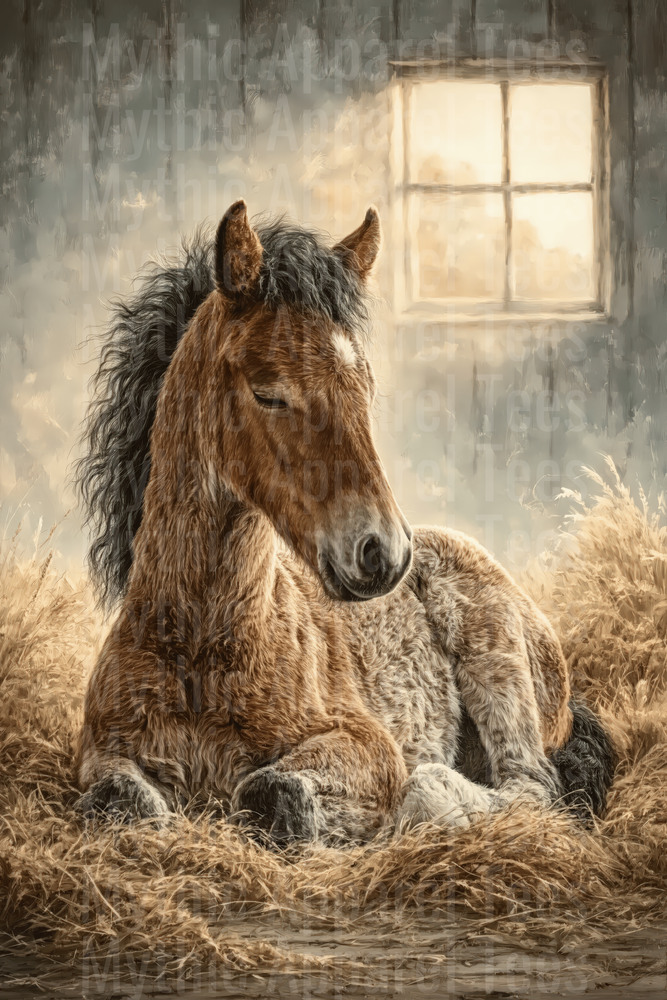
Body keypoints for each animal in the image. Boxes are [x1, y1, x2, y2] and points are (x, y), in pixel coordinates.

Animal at [74, 201, 614, 841]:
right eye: (269, 394)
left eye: (365, 387)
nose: (383, 552)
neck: (203, 653)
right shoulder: (97, 755)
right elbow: (118, 800)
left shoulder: (368, 746)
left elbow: (271, 791)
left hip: (497, 662)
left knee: (529, 786)